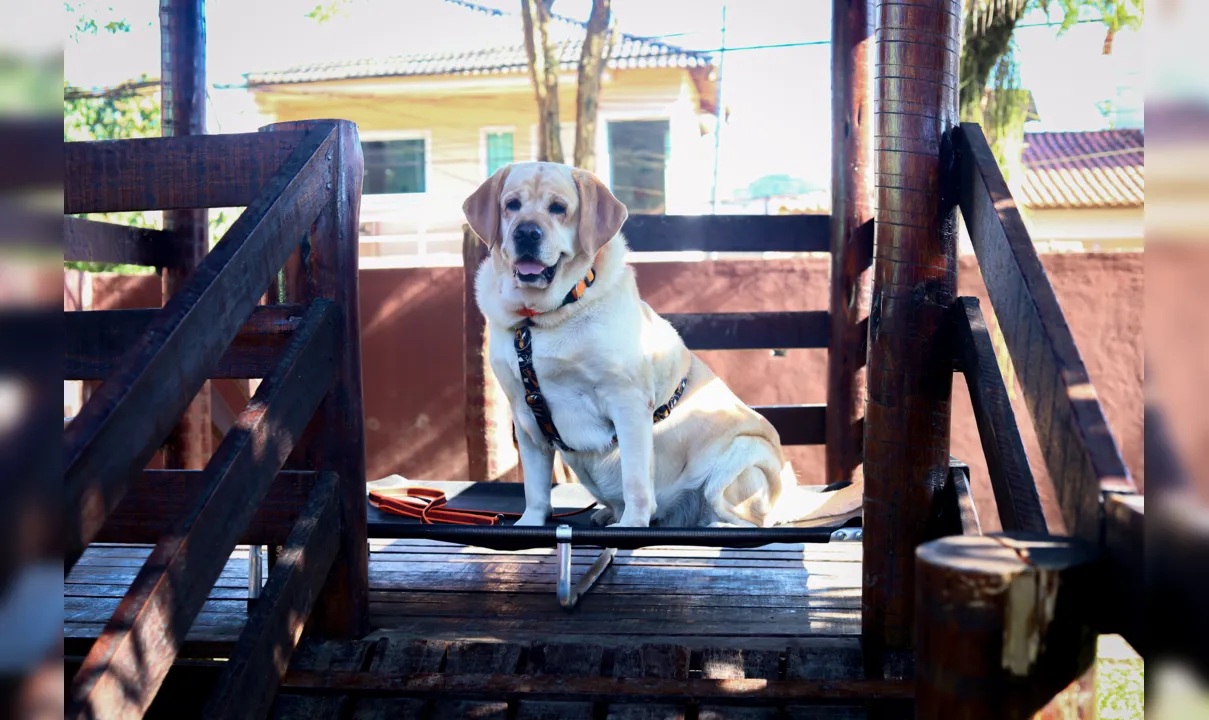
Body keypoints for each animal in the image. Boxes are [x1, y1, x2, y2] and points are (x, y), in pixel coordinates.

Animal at [461, 161, 860, 529]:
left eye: (558, 208)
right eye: (511, 204)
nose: (526, 232)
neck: (540, 319)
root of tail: (792, 496)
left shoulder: (628, 403)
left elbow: (636, 480)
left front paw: (632, 525)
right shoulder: (526, 414)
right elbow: (536, 488)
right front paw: (530, 522)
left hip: (744, 456)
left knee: (748, 517)